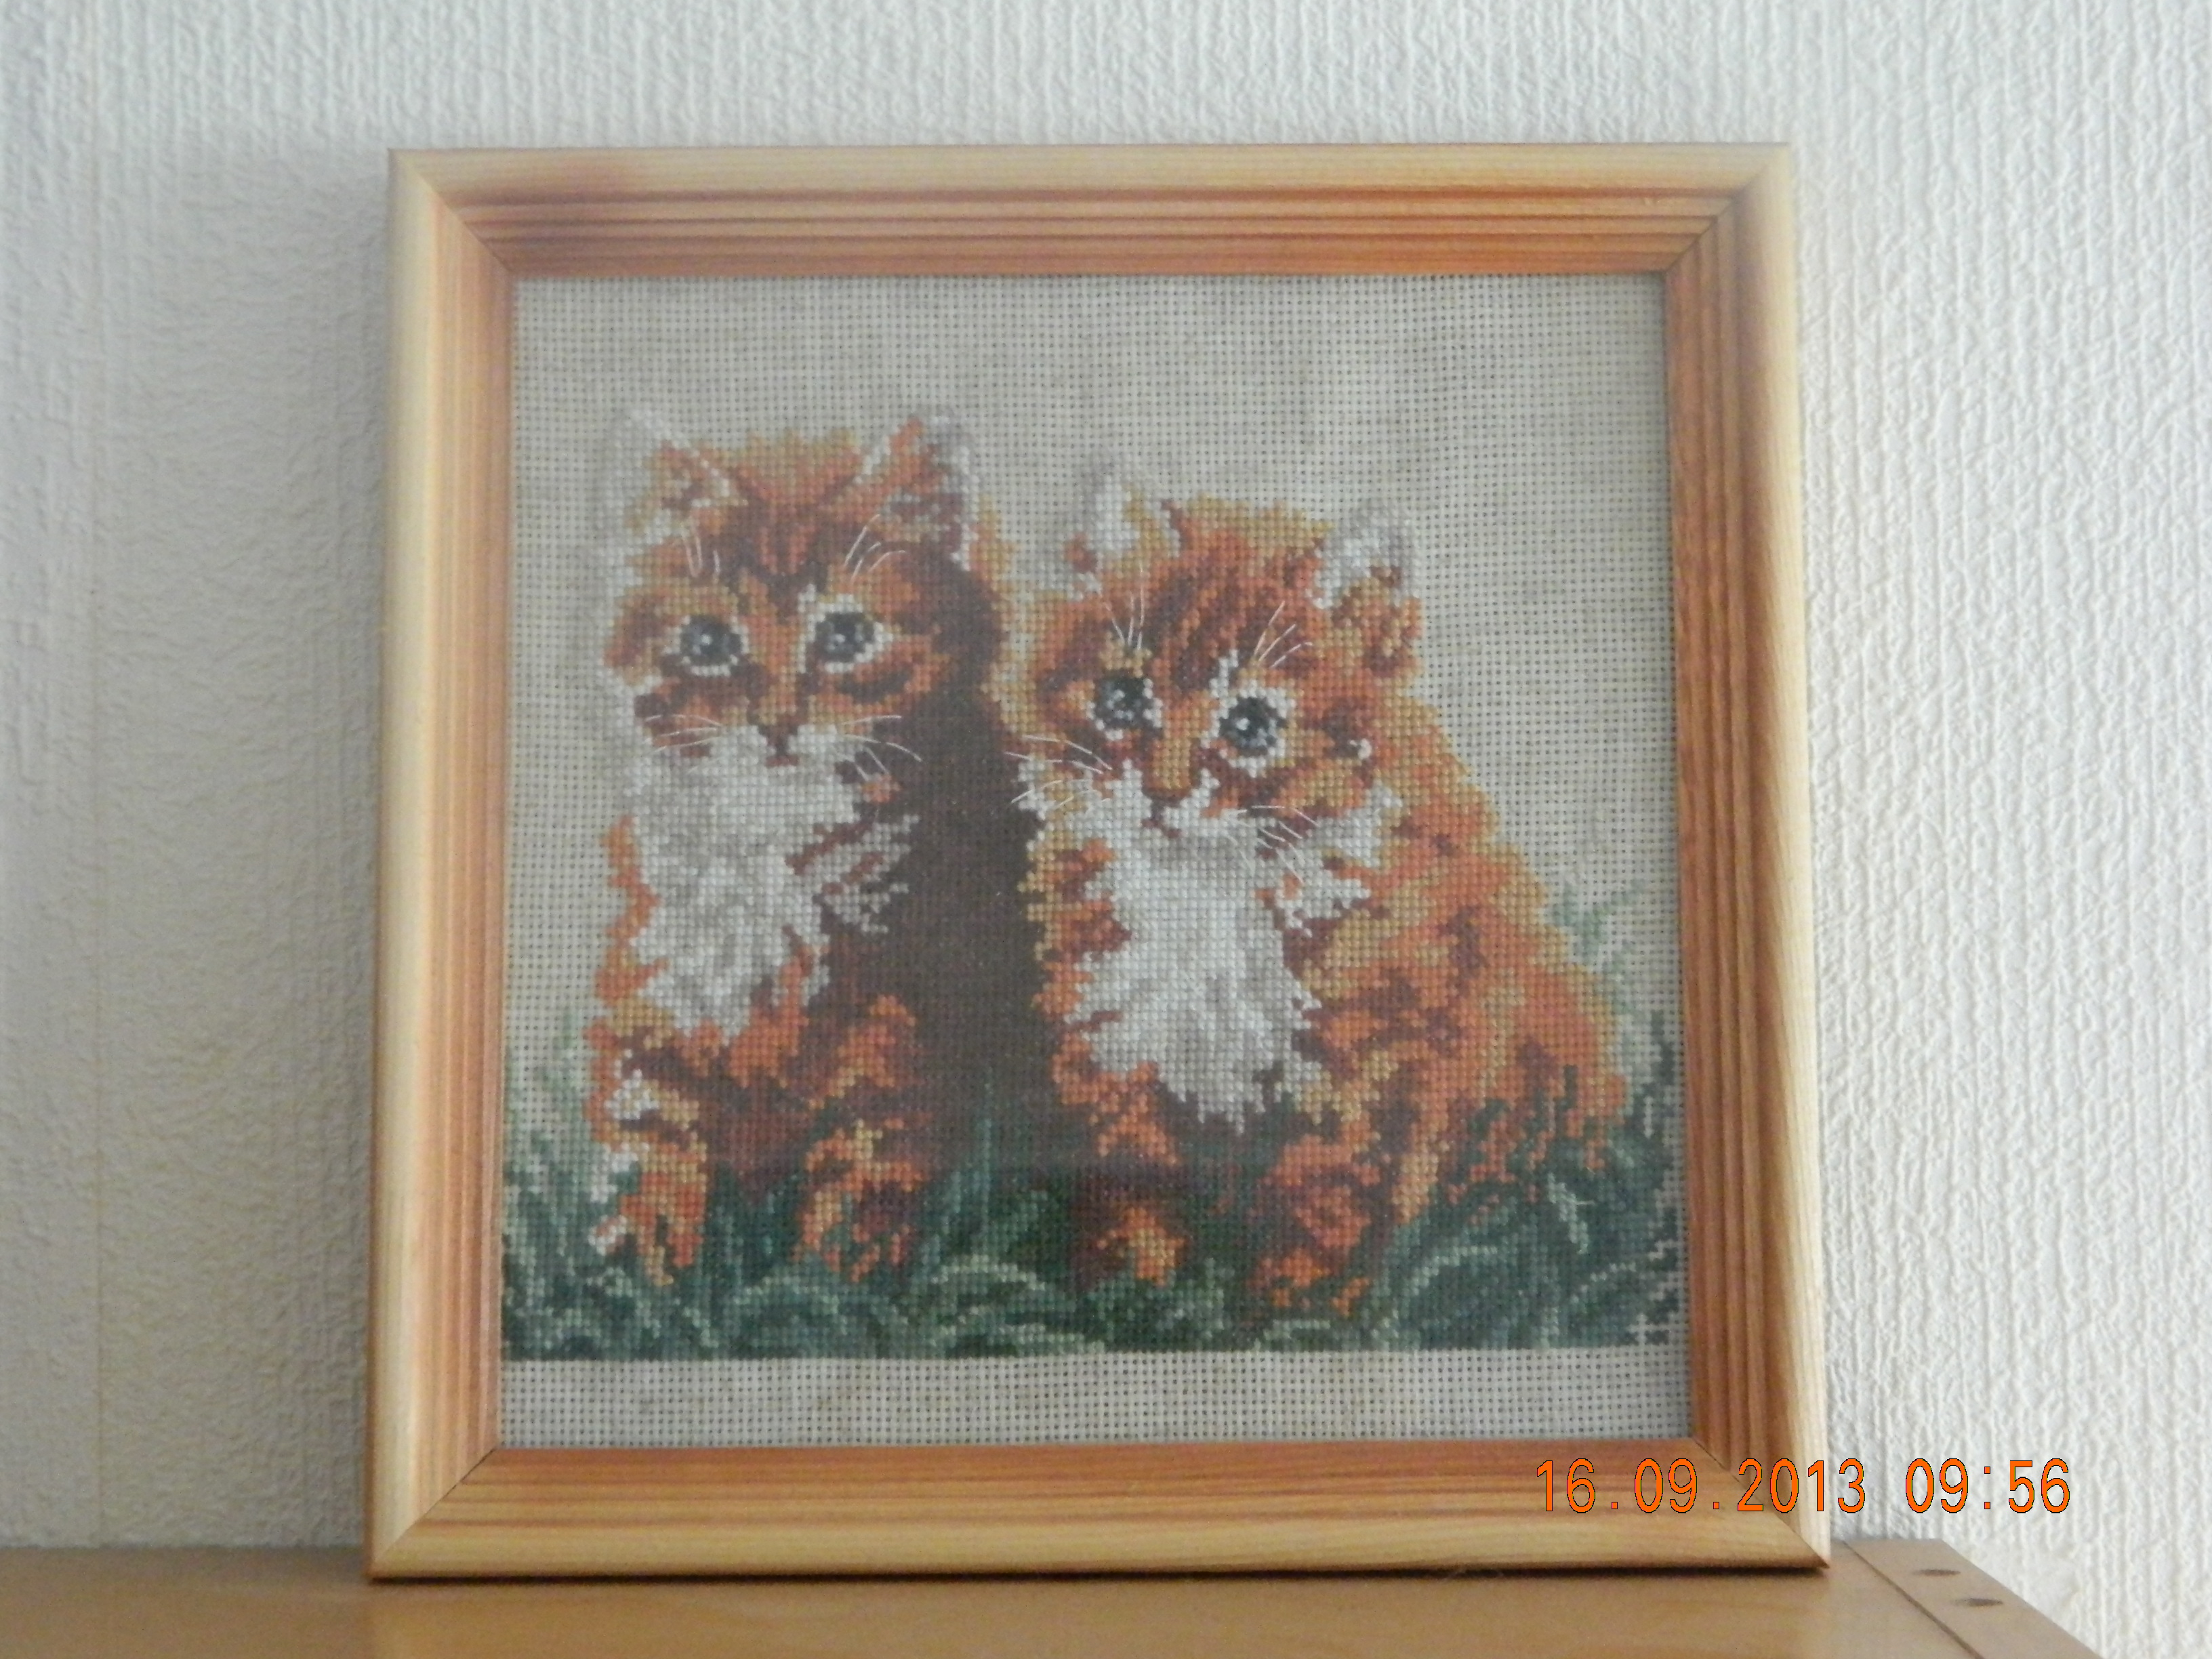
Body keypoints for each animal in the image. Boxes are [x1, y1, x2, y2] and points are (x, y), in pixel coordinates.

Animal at [583, 414, 1041, 1285]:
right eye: (707, 641)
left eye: (846, 634)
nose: (777, 722)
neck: (777, 847)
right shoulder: (658, 988)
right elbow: (649, 1148)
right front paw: (643, 1273)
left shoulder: (903, 1037)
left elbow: (858, 1196)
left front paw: (821, 1287)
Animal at [1001, 478, 1628, 1311]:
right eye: (1122, 699)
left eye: (1251, 724)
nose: (1162, 793)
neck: (1209, 898)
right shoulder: (1118, 1043)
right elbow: (1133, 1197)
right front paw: (1132, 1299)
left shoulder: (1374, 1077)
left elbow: (1321, 1217)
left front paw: (1284, 1318)